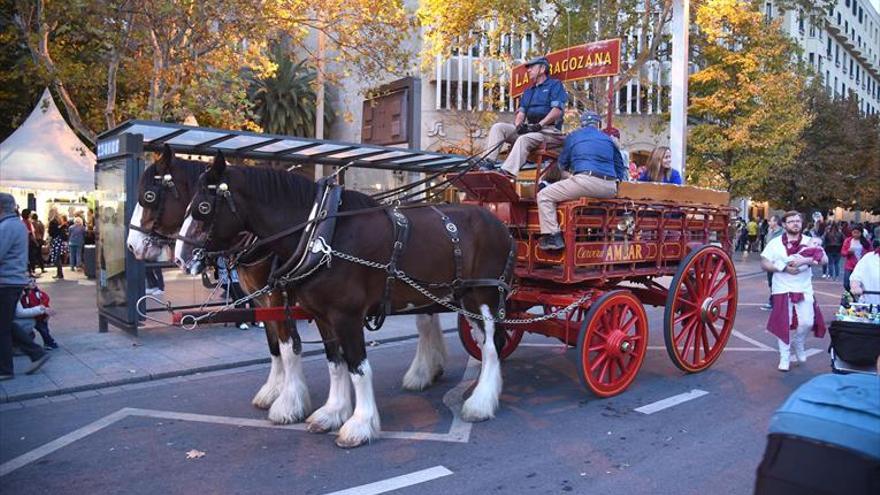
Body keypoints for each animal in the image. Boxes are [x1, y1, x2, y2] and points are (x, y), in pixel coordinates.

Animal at [129, 149, 446, 428]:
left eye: (148, 196)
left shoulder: (277, 297)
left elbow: (289, 347)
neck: (306, 231)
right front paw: (274, 390)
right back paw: (430, 368)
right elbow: (274, 347)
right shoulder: (262, 300)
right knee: (428, 319)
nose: (132, 247)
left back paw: (422, 370)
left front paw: (289, 402)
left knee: (426, 322)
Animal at [174, 156, 512, 450]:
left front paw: (360, 424)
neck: (321, 236)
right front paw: (332, 412)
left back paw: (480, 402)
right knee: (483, 342)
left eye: (203, 207)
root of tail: (497, 222)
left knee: (491, 346)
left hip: (483, 296)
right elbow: (335, 364)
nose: (181, 257)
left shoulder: (346, 316)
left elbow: (357, 367)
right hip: (461, 297)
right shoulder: (323, 316)